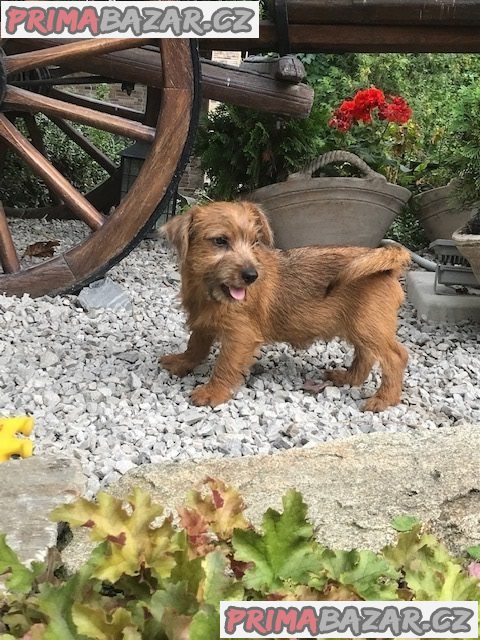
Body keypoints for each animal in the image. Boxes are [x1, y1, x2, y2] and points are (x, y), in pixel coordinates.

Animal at [160, 201, 408, 410]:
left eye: (254, 242)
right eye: (220, 241)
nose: (252, 276)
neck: (209, 292)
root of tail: (389, 267)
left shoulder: (240, 336)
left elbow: (225, 365)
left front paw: (213, 392)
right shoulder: (202, 322)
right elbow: (195, 345)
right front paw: (182, 362)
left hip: (368, 327)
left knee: (395, 357)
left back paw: (384, 399)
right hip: (361, 326)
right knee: (366, 355)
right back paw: (348, 378)